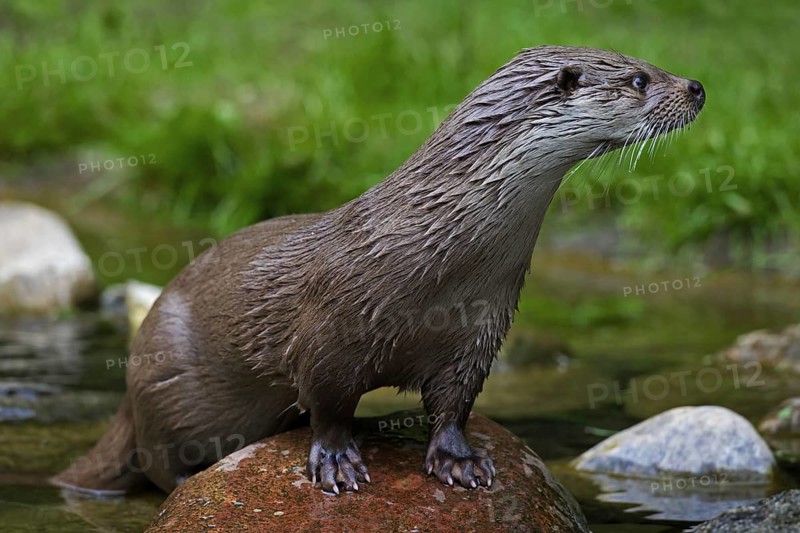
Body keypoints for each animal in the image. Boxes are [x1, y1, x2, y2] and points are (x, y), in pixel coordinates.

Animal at [54, 46, 705, 495]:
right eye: (641, 79)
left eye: (650, 65)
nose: (697, 86)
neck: (443, 253)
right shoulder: (329, 332)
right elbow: (328, 403)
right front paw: (338, 462)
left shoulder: (481, 325)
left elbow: (455, 401)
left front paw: (458, 460)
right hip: (165, 388)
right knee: (158, 463)